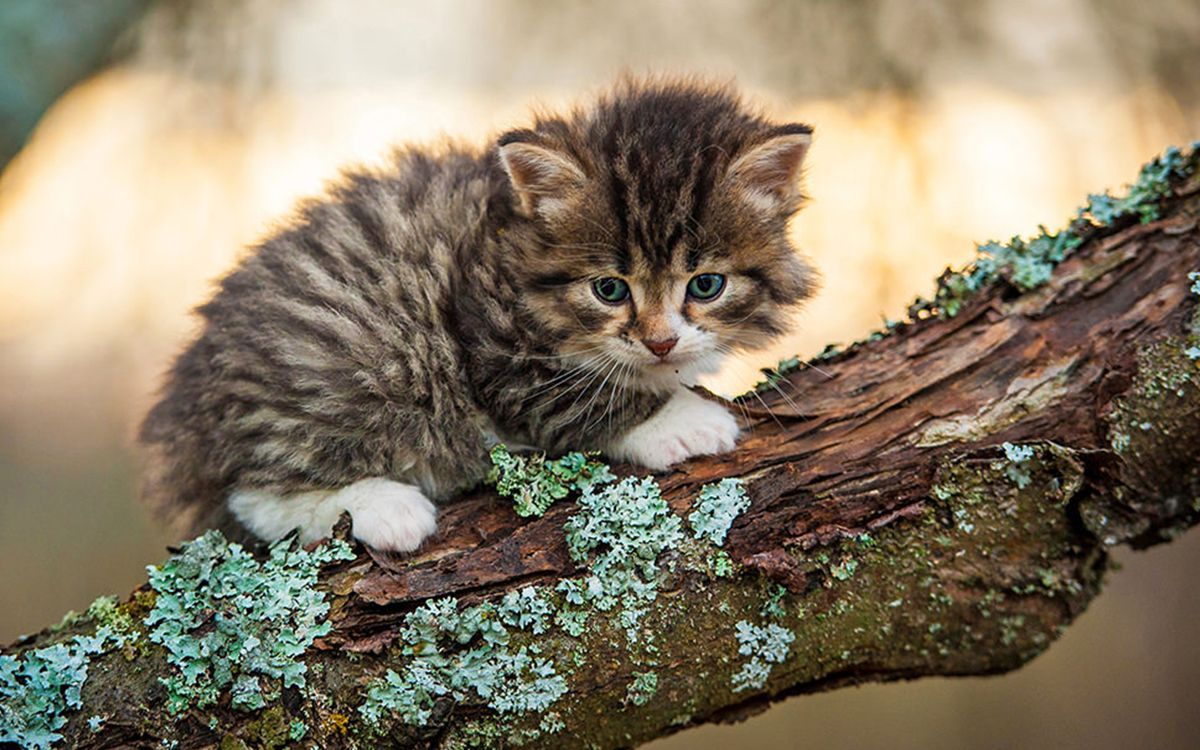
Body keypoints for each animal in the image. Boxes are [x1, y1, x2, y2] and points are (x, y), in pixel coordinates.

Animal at [138, 80, 816, 549]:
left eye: (706, 285)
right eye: (609, 289)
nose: (660, 343)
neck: (507, 242)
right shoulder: (493, 345)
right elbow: (576, 401)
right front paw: (682, 419)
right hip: (351, 364)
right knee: (255, 493)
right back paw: (386, 509)